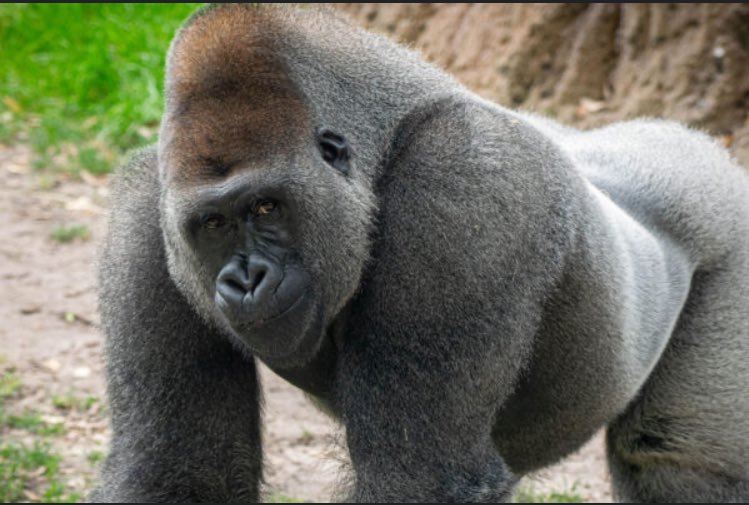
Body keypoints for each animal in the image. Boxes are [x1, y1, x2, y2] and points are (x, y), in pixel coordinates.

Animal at [90, 4, 749, 502]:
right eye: (213, 224)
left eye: (267, 209)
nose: (245, 278)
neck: (386, 136)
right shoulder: (146, 215)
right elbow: (178, 472)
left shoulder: (463, 179)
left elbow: (421, 477)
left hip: (724, 217)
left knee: (676, 462)